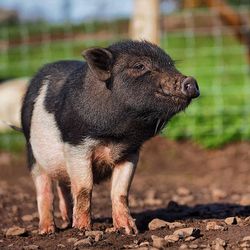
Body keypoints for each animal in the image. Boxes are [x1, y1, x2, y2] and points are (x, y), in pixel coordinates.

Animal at [20, 39, 199, 234]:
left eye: (171, 64)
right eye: (139, 66)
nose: (191, 80)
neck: (115, 136)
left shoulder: (130, 151)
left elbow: (120, 191)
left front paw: (128, 230)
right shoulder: (76, 145)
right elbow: (84, 188)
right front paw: (83, 229)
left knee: (63, 186)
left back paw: (67, 221)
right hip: (32, 153)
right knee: (44, 190)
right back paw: (47, 230)